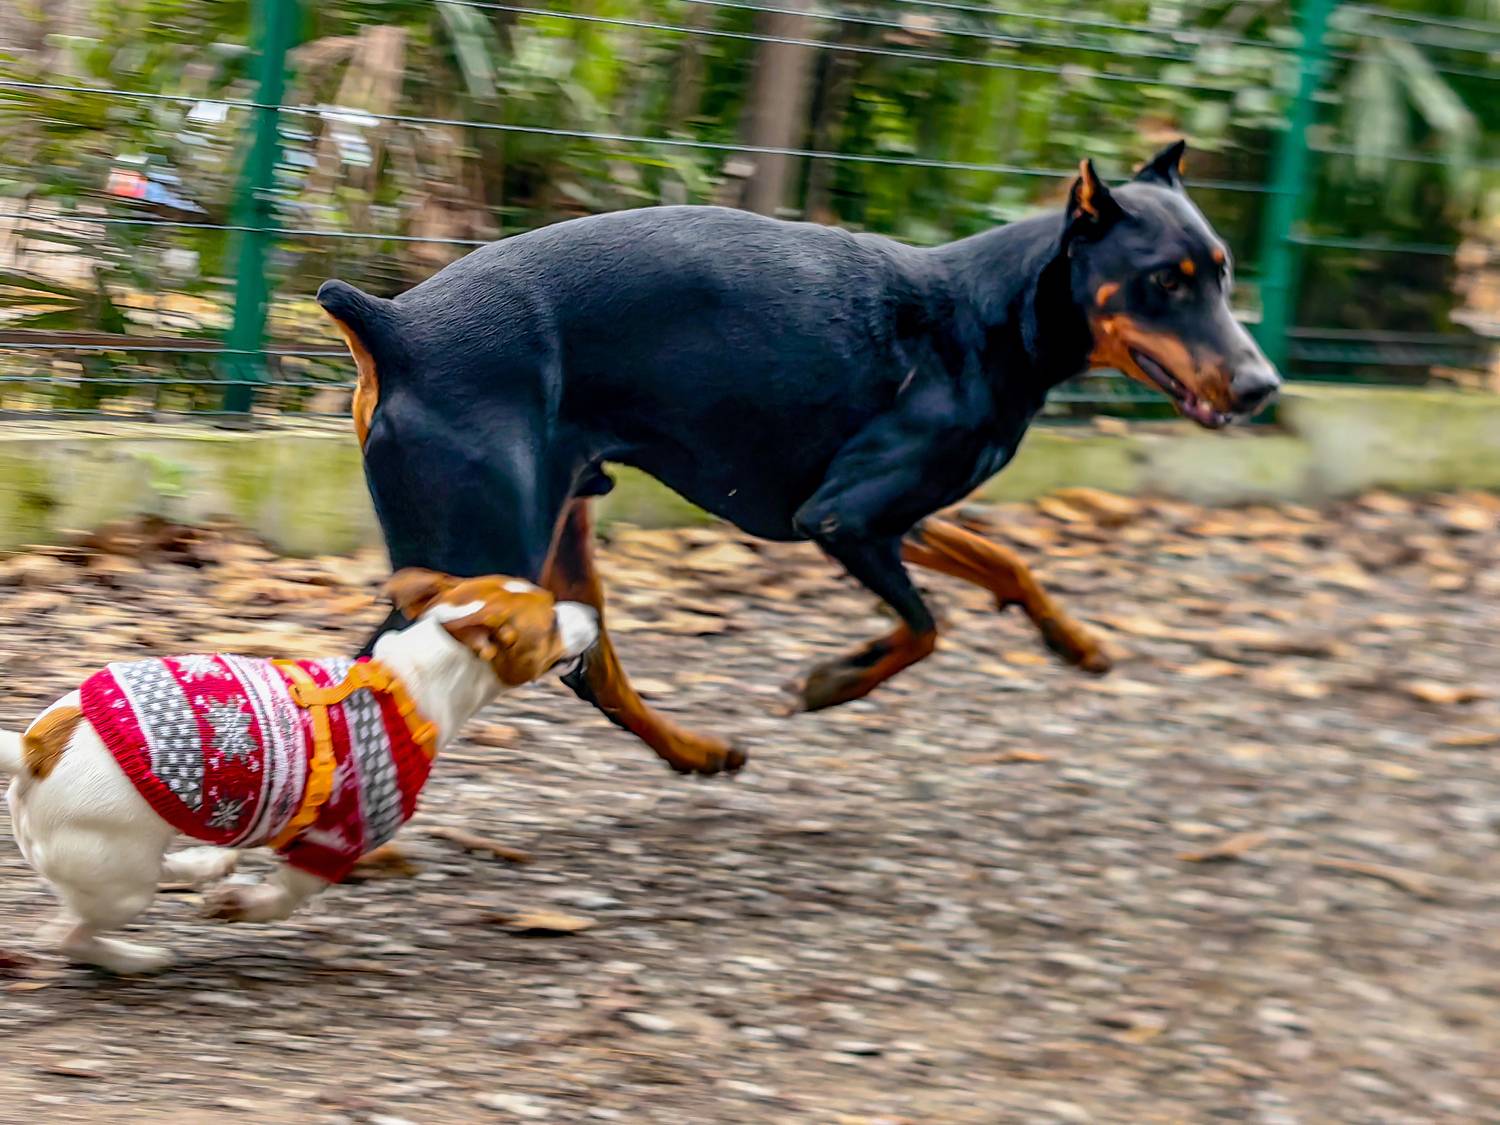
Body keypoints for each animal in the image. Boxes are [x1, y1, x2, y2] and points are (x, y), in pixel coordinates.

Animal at [0, 571, 597, 974]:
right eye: (551, 622)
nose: (593, 610)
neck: (409, 683)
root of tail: (35, 747)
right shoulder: (335, 840)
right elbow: (284, 897)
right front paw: (242, 906)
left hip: (124, 858)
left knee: (146, 875)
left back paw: (199, 866)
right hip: (118, 881)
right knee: (65, 935)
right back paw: (134, 958)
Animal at [316, 140, 1279, 778]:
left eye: (1223, 270)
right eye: (1165, 280)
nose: (1263, 385)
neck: (992, 317)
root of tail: (394, 326)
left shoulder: (892, 516)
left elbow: (1007, 561)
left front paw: (1075, 642)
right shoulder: (841, 516)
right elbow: (925, 628)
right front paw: (829, 681)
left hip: (557, 536)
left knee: (593, 671)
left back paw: (698, 750)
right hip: (488, 545)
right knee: (390, 668)